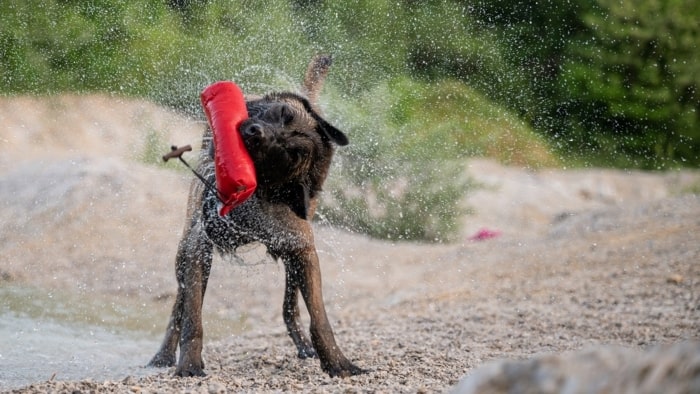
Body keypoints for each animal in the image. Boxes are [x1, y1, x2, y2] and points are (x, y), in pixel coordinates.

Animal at [148, 53, 366, 378]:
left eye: (290, 153)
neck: (258, 192)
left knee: (290, 306)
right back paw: (163, 355)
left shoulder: (303, 249)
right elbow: (192, 317)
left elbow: (319, 317)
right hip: (184, 248)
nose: (254, 132)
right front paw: (189, 364)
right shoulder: (199, 245)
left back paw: (303, 345)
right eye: (282, 112)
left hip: (291, 259)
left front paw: (337, 362)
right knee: (180, 303)